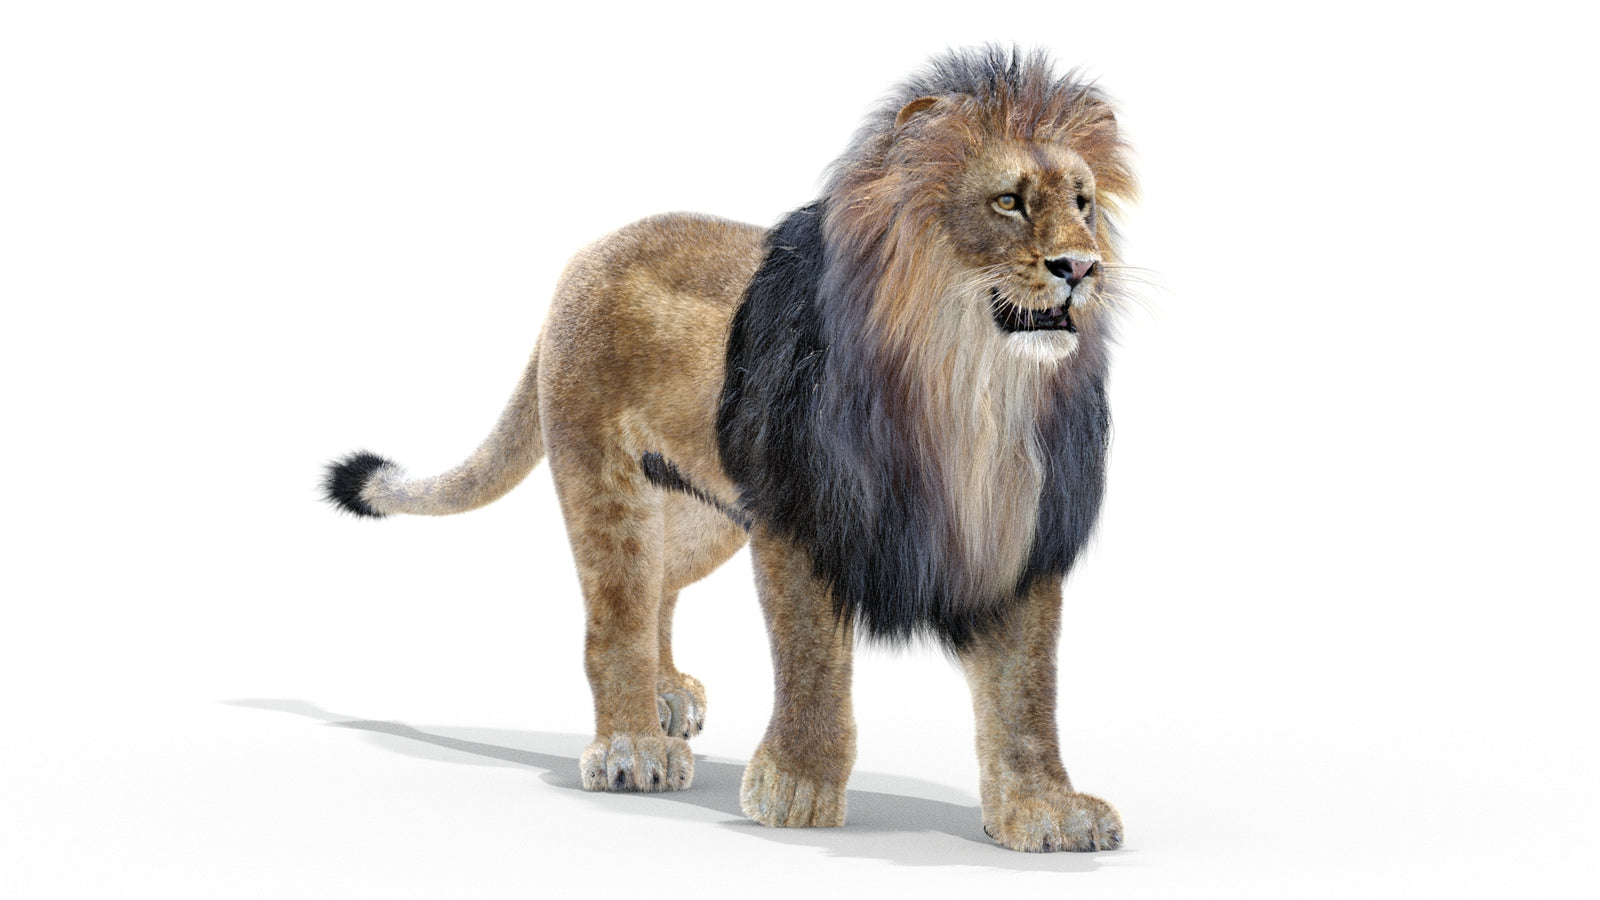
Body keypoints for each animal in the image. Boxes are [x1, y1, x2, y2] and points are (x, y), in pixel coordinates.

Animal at [323, 46, 1138, 853]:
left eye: (1083, 203)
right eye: (1009, 202)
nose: (1081, 266)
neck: (974, 389)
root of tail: (586, 257)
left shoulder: (1019, 534)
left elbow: (1026, 692)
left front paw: (1045, 809)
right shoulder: (803, 521)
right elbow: (811, 665)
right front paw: (798, 789)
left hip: (709, 511)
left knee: (660, 584)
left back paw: (666, 694)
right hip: (607, 484)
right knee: (616, 613)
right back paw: (633, 747)